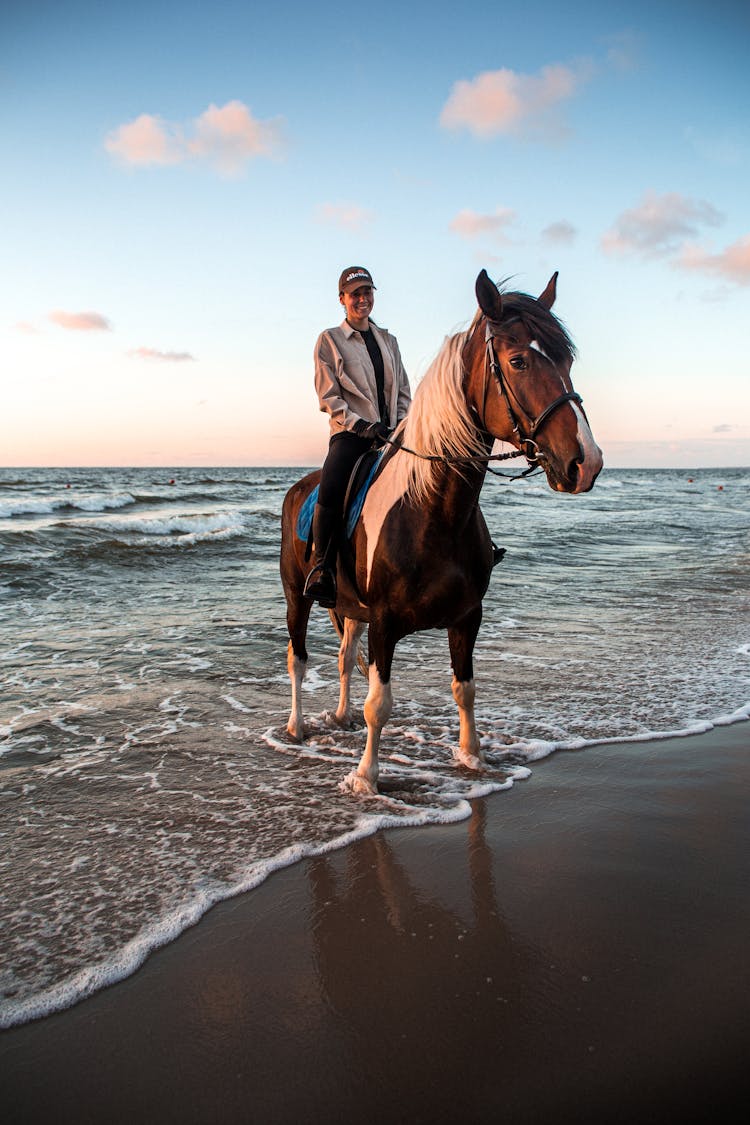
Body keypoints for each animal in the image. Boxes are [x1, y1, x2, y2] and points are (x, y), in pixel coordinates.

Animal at [281, 267, 602, 796]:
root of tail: (300, 488)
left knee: (345, 656)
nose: (586, 463)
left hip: (349, 607)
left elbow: (464, 689)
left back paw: (340, 716)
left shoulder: (467, 617)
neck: (433, 510)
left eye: (568, 360)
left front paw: (473, 757)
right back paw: (296, 726)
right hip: (297, 597)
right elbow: (380, 704)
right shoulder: (385, 622)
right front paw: (366, 777)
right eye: (517, 361)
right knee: (298, 658)